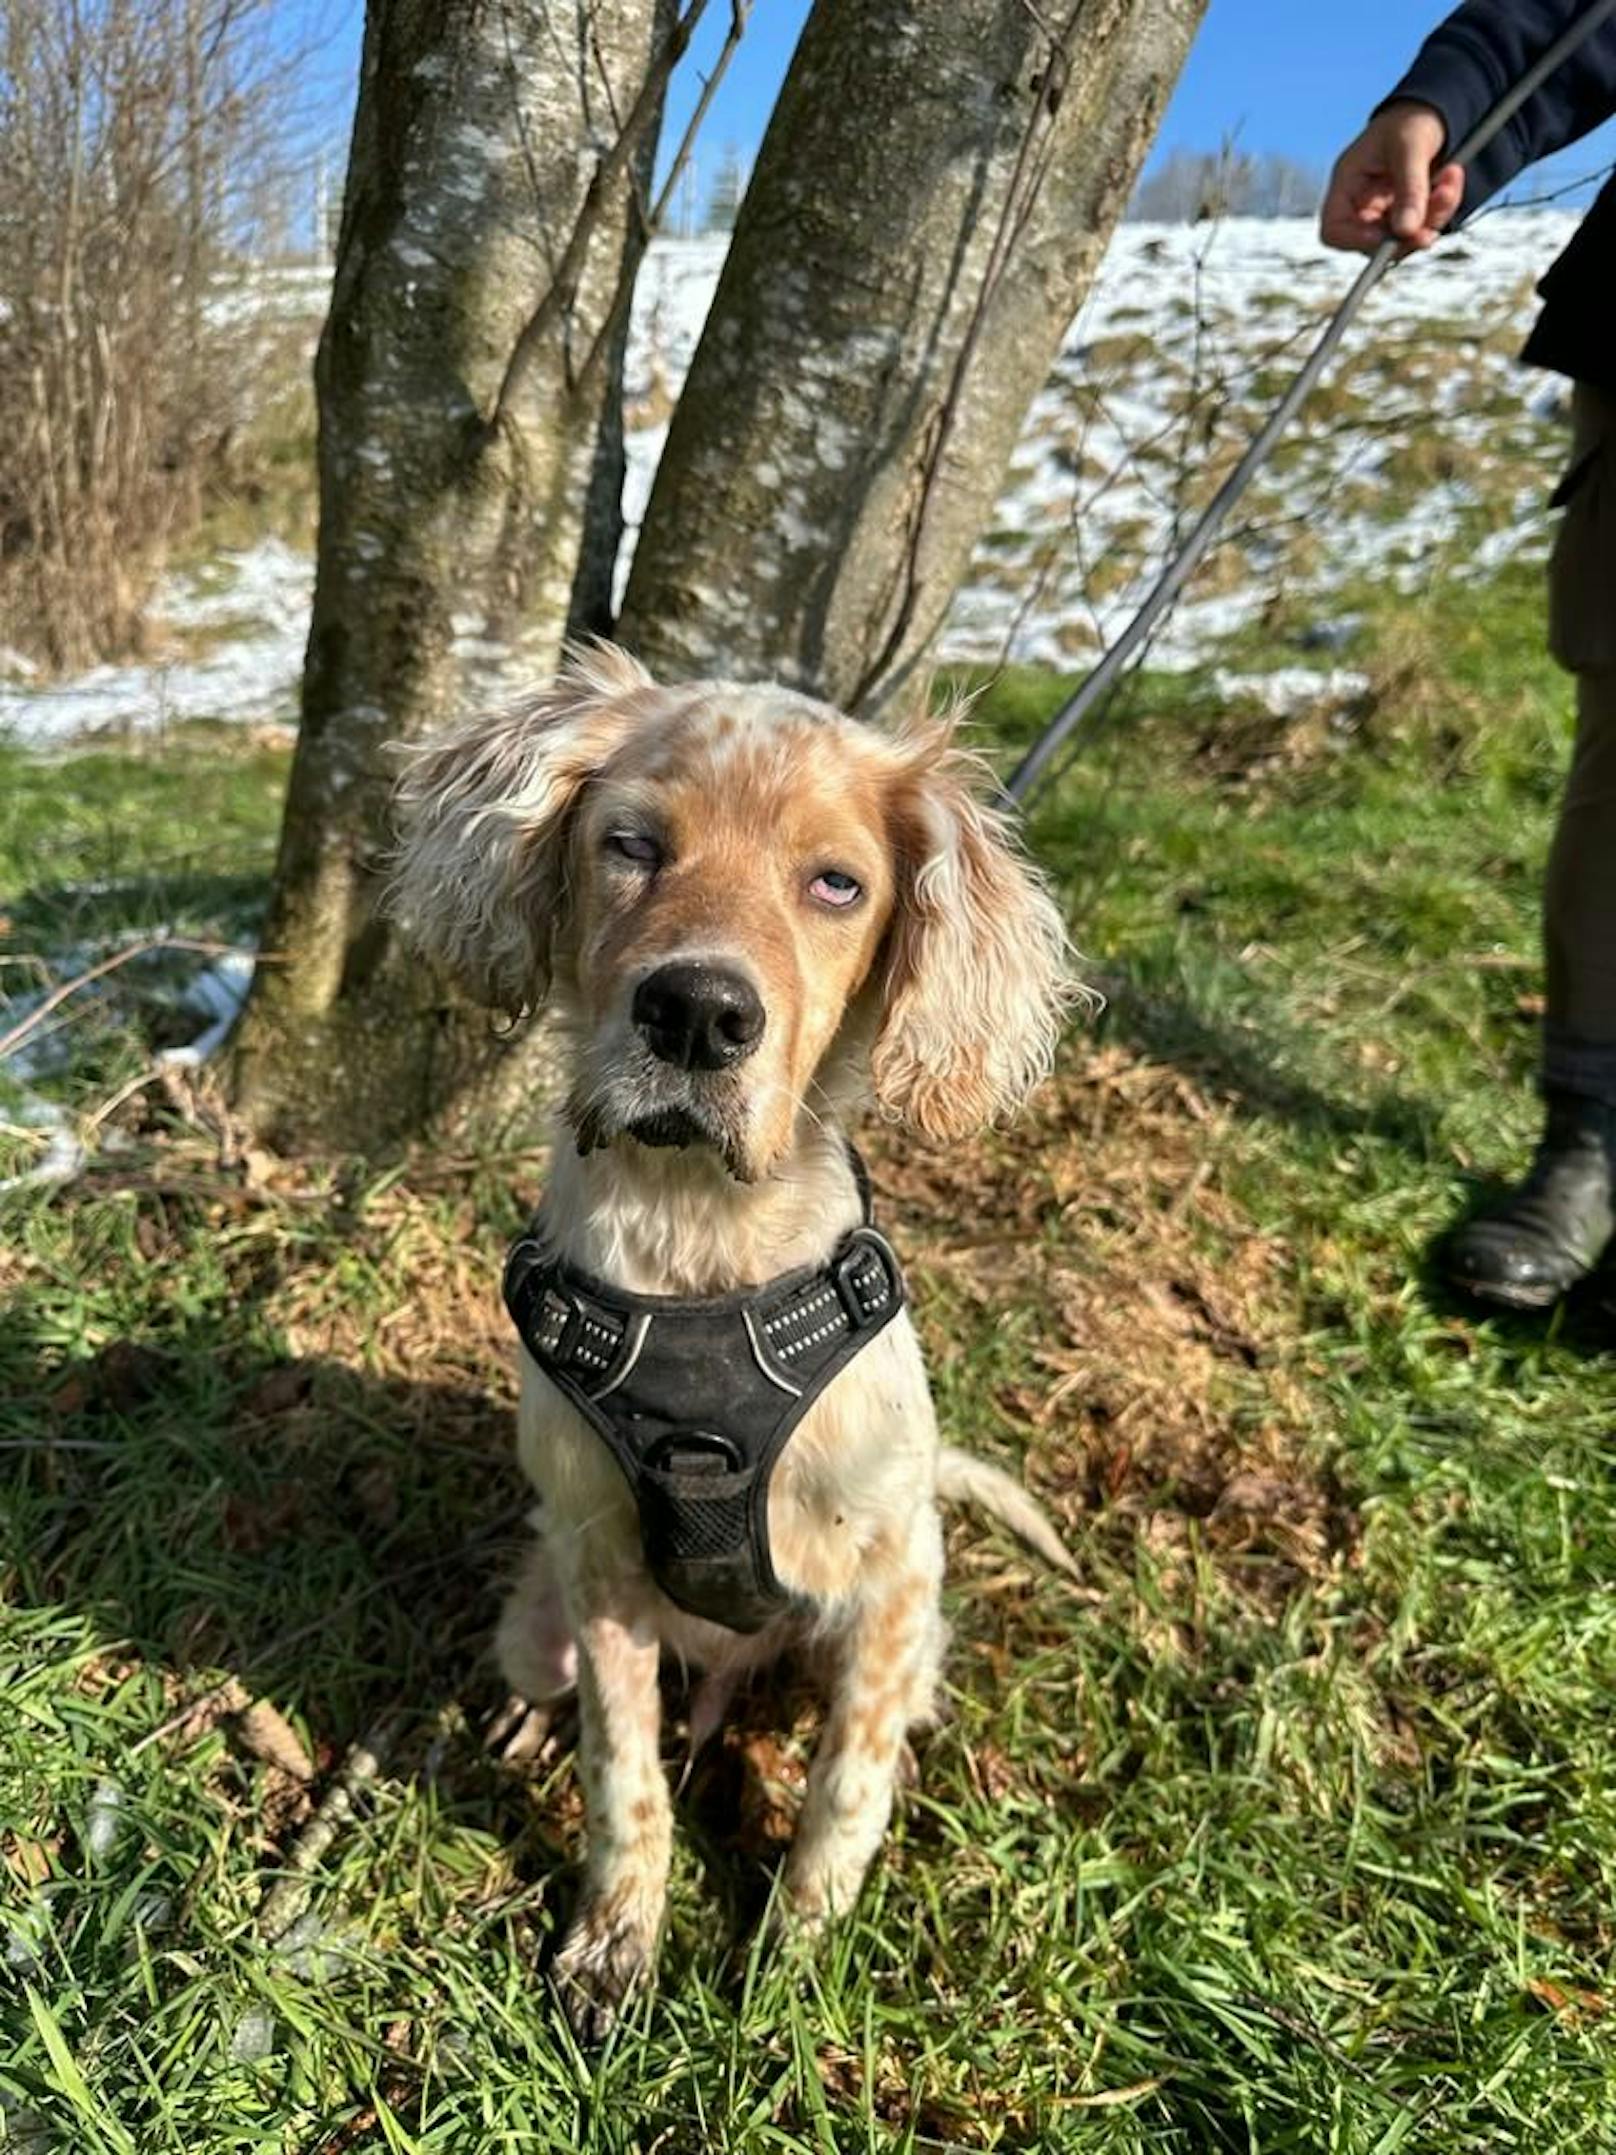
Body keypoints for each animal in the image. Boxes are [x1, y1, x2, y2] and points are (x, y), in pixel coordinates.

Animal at [389, 637, 1077, 2034]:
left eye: (836, 883)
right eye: (632, 844)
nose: (699, 1013)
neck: (699, 1244)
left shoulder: (889, 1581)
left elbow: (843, 1789)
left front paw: (796, 1958)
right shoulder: (599, 1561)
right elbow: (623, 1774)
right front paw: (613, 1942)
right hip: (535, 1618)